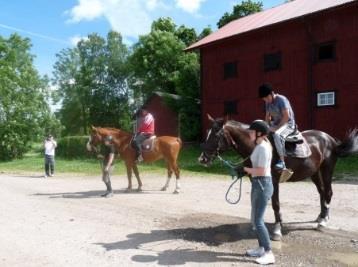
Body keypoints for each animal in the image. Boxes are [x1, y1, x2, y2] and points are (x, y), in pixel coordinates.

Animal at [199, 115, 358, 241]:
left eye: (216, 135)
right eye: (207, 133)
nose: (202, 159)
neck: (257, 147)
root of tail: (330, 139)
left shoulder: (273, 181)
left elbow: (275, 204)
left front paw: (276, 230)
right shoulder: (254, 179)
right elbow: (255, 201)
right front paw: (255, 224)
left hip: (327, 170)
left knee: (328, 192)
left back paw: (323, 222)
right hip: (314, 173)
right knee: (322, 192)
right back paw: (321, 216)